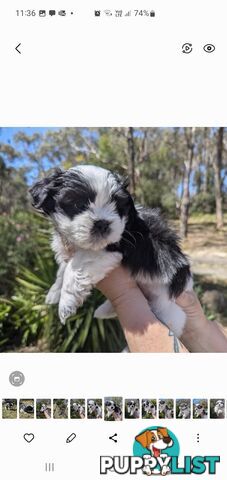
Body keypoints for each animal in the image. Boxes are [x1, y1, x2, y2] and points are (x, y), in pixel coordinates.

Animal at [29, 163, 193, 336]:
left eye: (118, 206)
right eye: (77, 204)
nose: (102, 223)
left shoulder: (114, 248)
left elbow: (74, 265)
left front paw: (66, 302)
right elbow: (62, 269)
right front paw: (54, 292)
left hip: (167, 311)